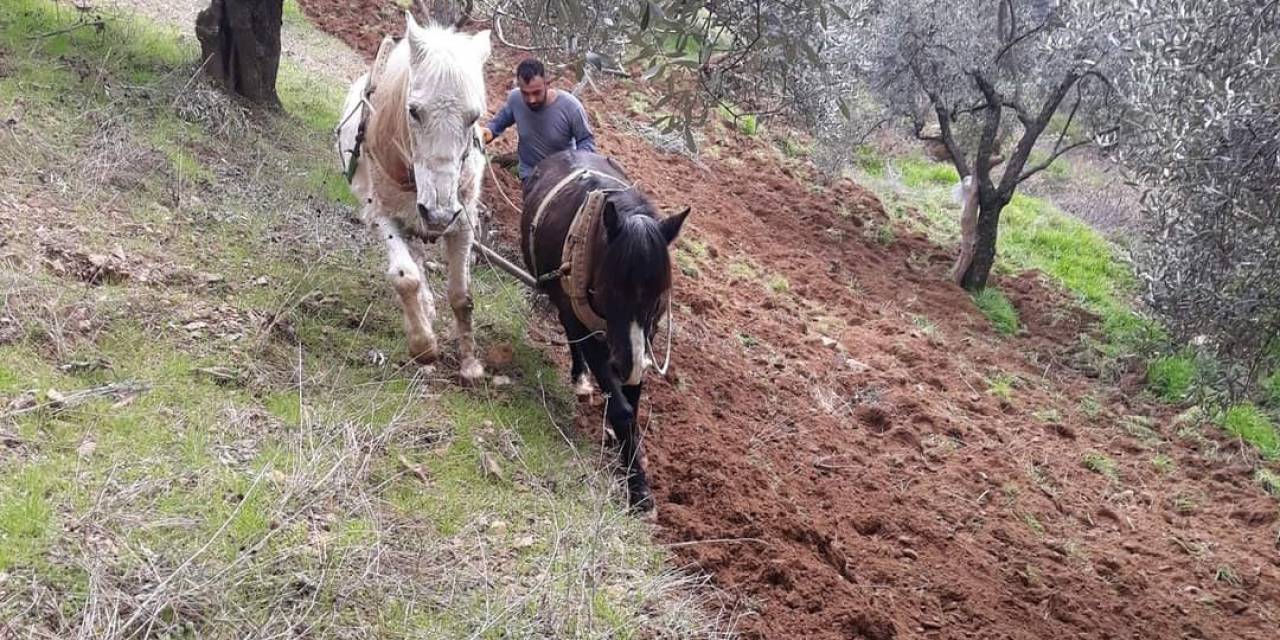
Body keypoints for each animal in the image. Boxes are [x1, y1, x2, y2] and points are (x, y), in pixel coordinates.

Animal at [335, 15, 488, 381]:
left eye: (474, 117)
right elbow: (405, 278)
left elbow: (461, 295)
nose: (438, 214)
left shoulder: (463, 223)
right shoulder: (382, 215)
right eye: (414, 111)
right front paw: (423, 345)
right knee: (414, 263)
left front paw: (470, 363)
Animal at [519, 148, 691, 509]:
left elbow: (633, 402)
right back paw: (580, 377)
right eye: (610, 288)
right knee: (571, 334)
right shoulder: (589, 326)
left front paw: (632, 464)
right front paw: (637, 487)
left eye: (659, 297)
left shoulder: (642, 340)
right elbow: (621, 408)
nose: (623, 363)